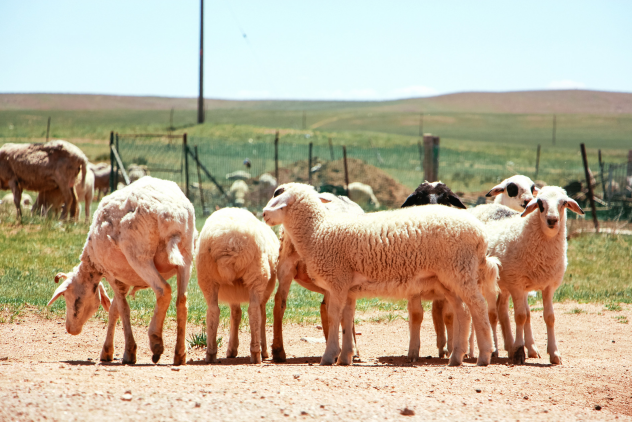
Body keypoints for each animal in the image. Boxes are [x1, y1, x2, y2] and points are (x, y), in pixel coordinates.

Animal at [47, 176, 195, 366]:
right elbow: (114, 310)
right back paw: (180, 354)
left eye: (70, 298)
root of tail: (172, 215)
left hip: (139, 255)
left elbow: (123, 309)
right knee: (182, 301)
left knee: (164, 291)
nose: (70, 329)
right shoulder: (122, 278)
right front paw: (107, 351)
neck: (92, 262)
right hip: (186, 255)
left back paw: (156, 342)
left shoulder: (112, 274)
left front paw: (129, 352)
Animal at [195, 207, 278, 362]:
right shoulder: (263, 295)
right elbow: (262, 317)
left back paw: (210, 353)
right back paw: (256, 353)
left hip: (207, 277)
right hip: (257, 274)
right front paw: (264, 351)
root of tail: (230, 242)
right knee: (254, 312)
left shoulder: (233, 293)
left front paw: (232, 349)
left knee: (213, 311)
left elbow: (235, 314)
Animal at [474, 186, 584, 364]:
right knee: (491, 314)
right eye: (539, 203)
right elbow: (520, 316)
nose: (552, 220)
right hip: (487, 281)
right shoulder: (517, 285)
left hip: (505, 284)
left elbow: (548, 317)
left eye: (564, 203)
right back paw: (494, 349)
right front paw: (519, 352)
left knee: (502, 311)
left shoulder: (548, 286)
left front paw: (554, 353)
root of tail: (484, 207)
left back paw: (514, 346)